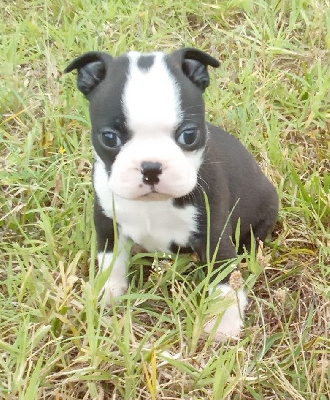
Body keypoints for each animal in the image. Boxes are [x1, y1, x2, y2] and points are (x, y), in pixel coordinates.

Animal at [65, 48, 278, 340]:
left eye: (188, 135)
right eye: (109, 138)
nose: (151, 167)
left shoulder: (213, 230)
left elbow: (223, 274)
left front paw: (224, 321)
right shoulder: (108, 221)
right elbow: (110, 260)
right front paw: (108, 293)